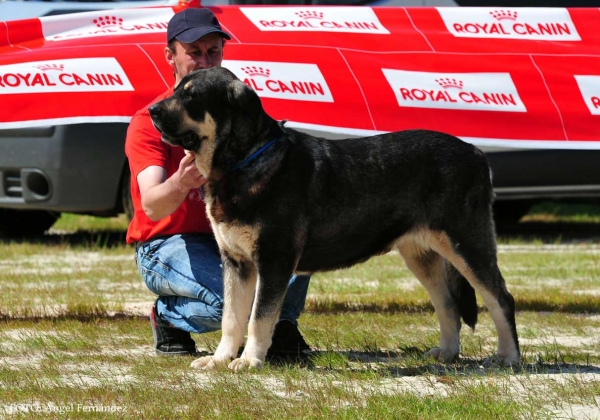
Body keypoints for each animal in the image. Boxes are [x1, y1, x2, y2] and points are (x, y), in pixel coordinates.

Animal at [149, 66, 520, 370]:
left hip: (466, 243)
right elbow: (231, 318)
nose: (151, 109)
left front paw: (249, 360)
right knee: (447, 304)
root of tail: (476, 152)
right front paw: (219, 359)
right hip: (422, 255)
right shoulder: (236, 262)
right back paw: (447, 353)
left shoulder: (274, 260)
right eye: (176, 88)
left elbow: (258, 317)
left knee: (500, 298)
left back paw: (508, 356)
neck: (243, 160)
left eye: (191, 96)